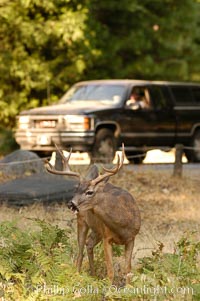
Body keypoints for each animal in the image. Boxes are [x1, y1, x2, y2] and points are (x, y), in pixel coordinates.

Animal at [46, 144, 141, 282]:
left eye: (89, 192)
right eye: (76, 188)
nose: (71, 204)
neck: (122, 225)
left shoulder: (131, 238)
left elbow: (128, 270)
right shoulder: (107, 238)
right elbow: (110, 272)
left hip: (97, 229)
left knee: (89, 243)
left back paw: (93, 275)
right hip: (82, 222)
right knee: (80, 252)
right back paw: (78, 276)